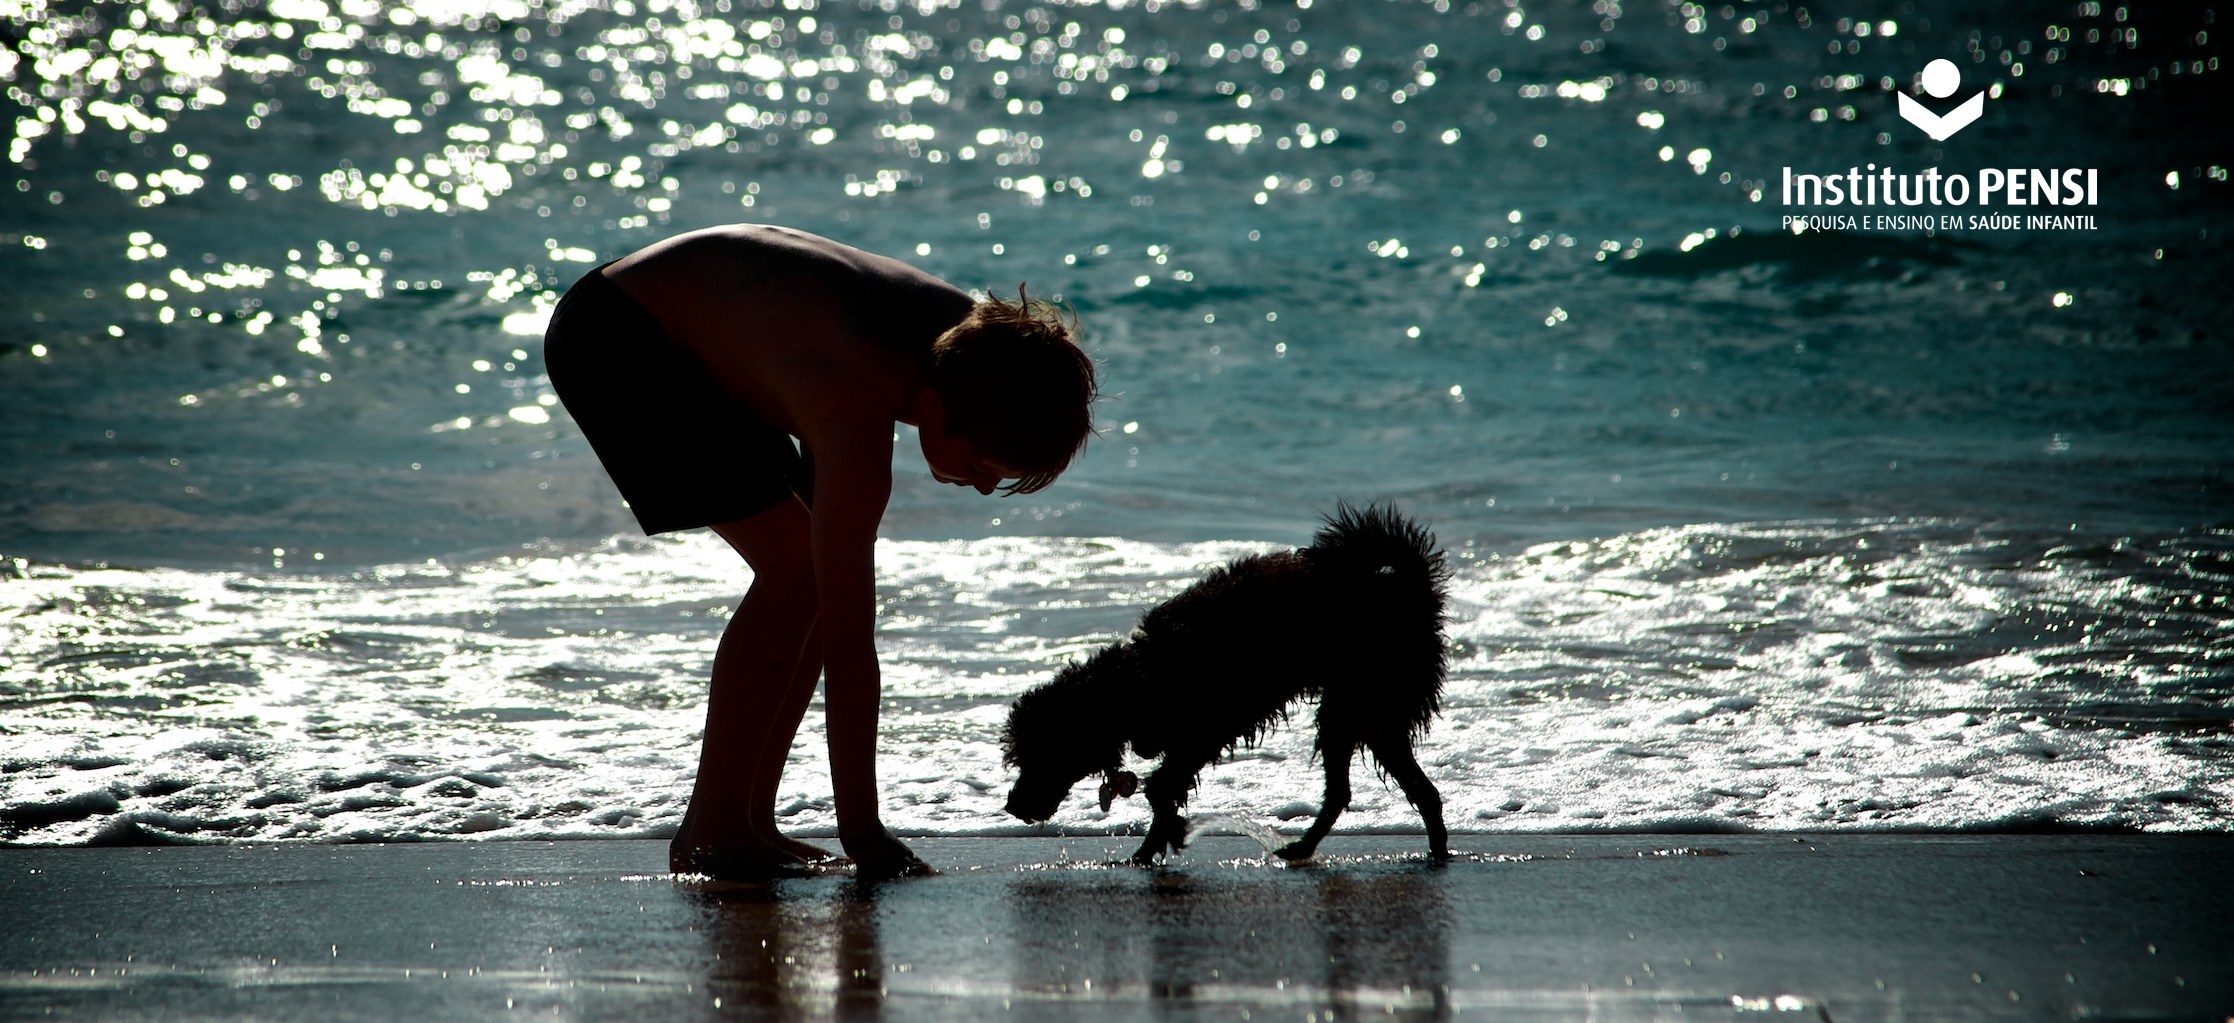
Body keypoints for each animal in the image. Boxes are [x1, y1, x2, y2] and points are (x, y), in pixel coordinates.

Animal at [1005, 502, 1456, 862]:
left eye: (1038, 754)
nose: (1012, 805)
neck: (1138, 683)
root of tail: (1410, 590)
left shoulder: (1202, 734)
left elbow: (1159, 791)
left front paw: (1159, 843)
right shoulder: (1187, 742)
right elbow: (1163, 793)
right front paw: (1153, 847)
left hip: (1361, 704)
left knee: (1370, 789)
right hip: (1365, 714)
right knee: (1399, 791)